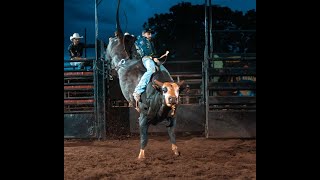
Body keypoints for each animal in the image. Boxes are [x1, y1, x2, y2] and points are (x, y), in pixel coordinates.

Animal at [105, 0, 185, 159]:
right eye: (164, 89)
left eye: (178, 90)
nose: (173, 99)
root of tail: (119, 37)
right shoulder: (142, 117)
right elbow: (144, 138)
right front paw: (141, 156)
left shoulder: (173, 118)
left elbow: (172, 134)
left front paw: (176, 150)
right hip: (110, 51)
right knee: (109, 58)